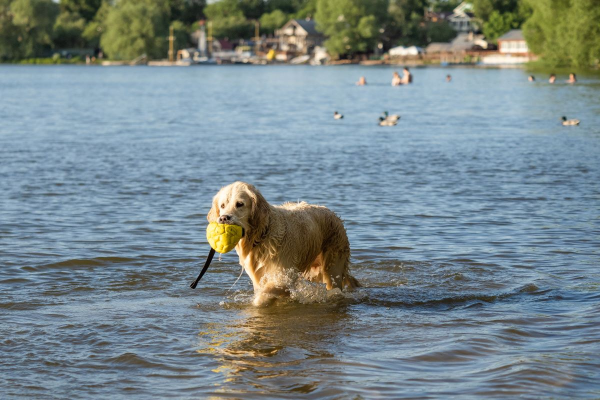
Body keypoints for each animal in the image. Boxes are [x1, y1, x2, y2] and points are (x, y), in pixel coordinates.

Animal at [207, 182, 356, 306]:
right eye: (222, 205)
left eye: (239, 204)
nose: (223, 218)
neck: (262, 235)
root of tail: (334, 215)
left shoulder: (284, 275)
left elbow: (263, 296)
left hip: (332, 267)